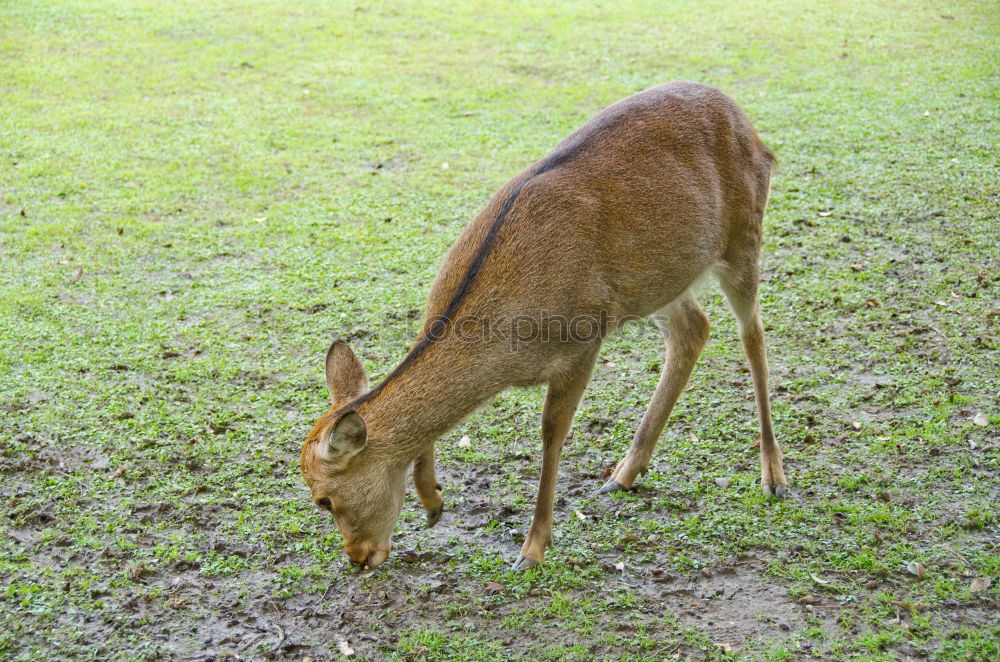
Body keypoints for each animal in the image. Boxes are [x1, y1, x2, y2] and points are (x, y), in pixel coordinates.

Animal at [300, 81, 784, 572]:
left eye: (324, 499)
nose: (358, 558)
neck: (507, 347)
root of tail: (751, 128)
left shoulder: (584, 336)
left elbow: (552, 434)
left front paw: (531, 549)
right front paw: (434, 503)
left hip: (744, 236)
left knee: (753, 336)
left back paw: (773, 476)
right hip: (662, 279)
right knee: (695, 328)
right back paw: (623, 474)